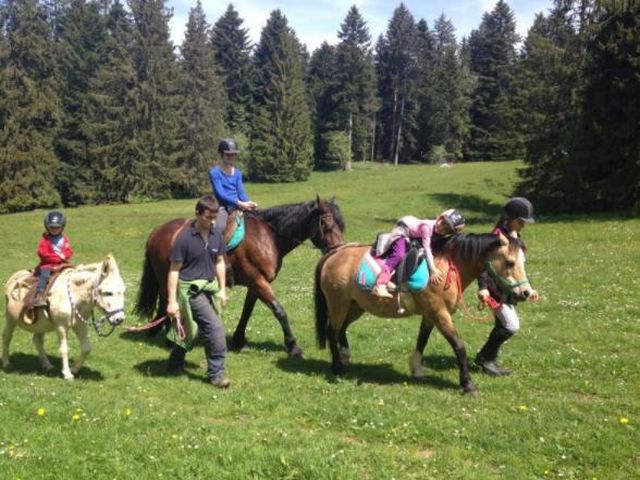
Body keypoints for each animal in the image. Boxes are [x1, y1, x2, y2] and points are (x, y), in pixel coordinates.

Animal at [134, 195, 344, 356]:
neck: (269, 237)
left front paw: (238, 340)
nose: (338, 250)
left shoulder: (255, 284)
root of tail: (158, 230)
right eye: (326, 223)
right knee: (167, 303)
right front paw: (293, 346)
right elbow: (279, 311)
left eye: (341, 225)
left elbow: (247, 311)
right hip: (166, 278)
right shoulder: (259, 281)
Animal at [314, 232, 528, 394]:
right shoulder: (439, 313)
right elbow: (459, 346)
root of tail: (333, 254)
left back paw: (345, 356)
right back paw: (337, 367)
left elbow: (422, 339)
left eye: (523, 261)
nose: (525, 292)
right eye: (510, 262)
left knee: (341, 329)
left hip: (355, 306)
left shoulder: (430, 314)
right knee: (332, 331)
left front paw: (416, 367)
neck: (446, 267)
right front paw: (468, 385)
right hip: (338, 305)